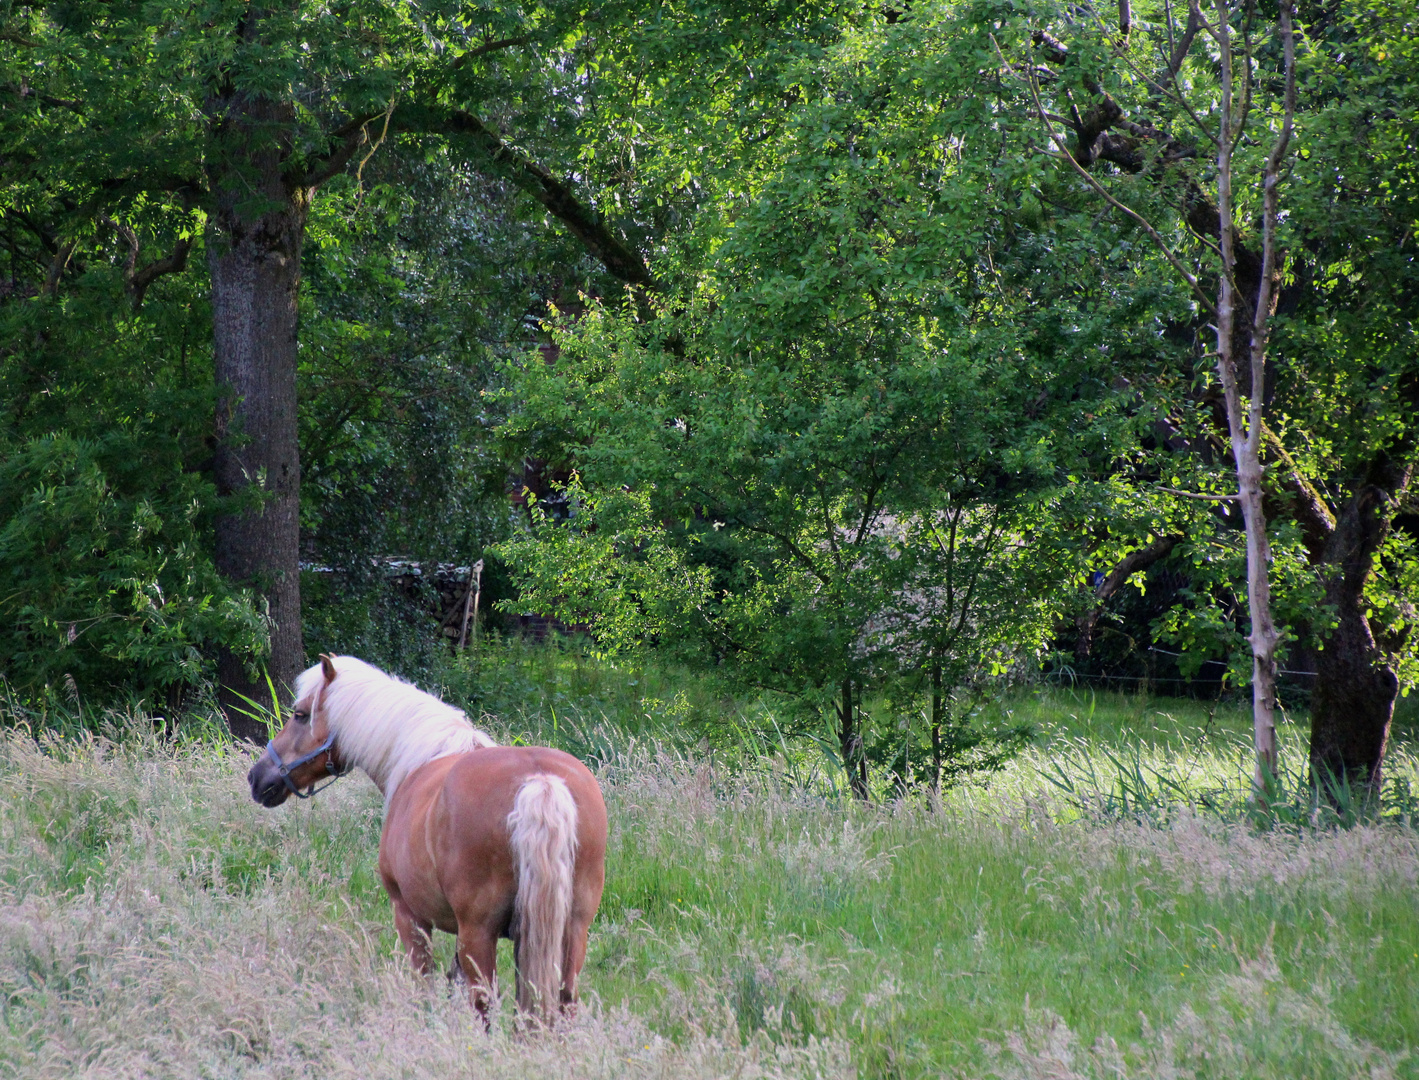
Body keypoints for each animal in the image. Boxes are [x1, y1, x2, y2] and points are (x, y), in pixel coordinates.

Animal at [246, 649, 607, 1021]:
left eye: (300, 715)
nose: (257, 777)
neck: (422, 759)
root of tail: (539, 780)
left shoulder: (409, 916)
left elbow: (424, 987)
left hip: (480, 933)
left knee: (484, 1004)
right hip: (567, 932)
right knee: (558, 1002)